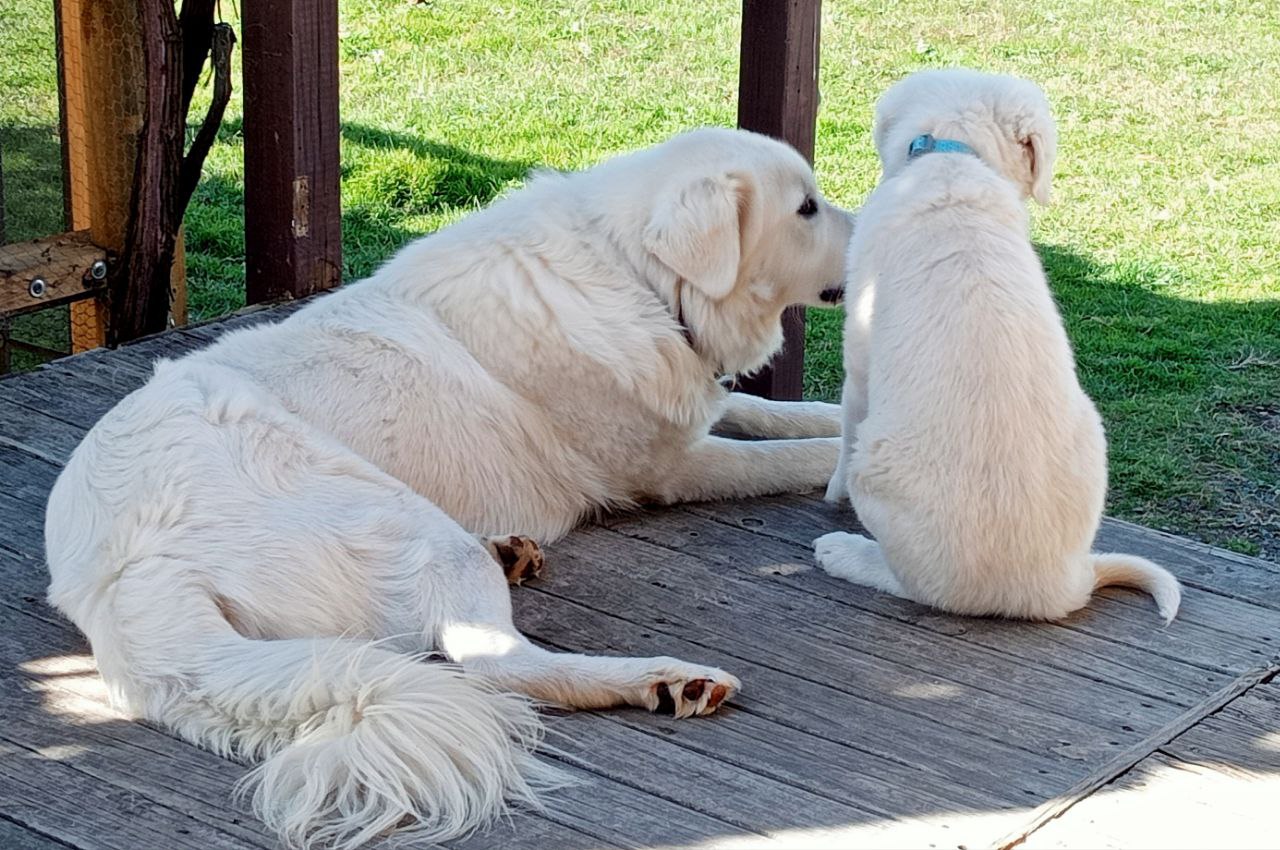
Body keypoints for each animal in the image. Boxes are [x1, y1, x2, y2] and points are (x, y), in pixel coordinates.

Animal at [45, 126, 855, 850]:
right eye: (807, 208)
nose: (873, 229)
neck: (637, 275)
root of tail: (122, 579)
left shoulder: (695, 417)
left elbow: (784, 413)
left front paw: (840, 417)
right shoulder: (673, 467)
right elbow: (798, 457)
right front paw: (850, 472)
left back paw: (512, 553)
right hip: (404, 521)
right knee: (497, 664)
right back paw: (668, 679)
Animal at [814, 68, 1182, 624]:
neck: (954, 158)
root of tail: (1056, 587)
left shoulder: (858, 349)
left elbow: (846, 421)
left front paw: (830, 496)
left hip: (877, 469)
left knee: (917, 587)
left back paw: (845, 552)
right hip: (1093, 431)